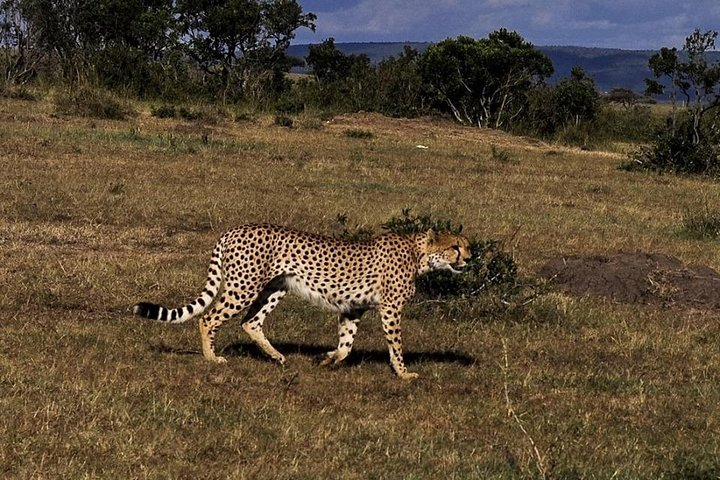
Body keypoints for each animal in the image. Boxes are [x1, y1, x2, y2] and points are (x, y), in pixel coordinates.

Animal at [133, 224, 472, 378]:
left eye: (466, 246)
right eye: (454, 247)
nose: (469, 259)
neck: (418, 254)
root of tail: (233, 229)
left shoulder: (353, 308)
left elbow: (346, 346)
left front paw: (324, 359)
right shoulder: (390, 309)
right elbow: (396, 344)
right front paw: (404, 373)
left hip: (275, 288)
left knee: (250, 321)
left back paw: (276, 356)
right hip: (244, 286)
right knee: (209, 317)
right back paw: (211, 358)